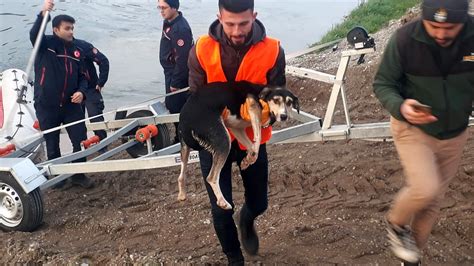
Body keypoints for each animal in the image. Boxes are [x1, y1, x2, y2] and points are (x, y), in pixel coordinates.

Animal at [176, 81, 298, 210]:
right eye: (276, 100)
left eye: (289, 102)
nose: (284, 116)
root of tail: (185, 120)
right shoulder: (253, 106)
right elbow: (258, 137)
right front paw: (250, 157)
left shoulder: (237, 128)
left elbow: (252, 148)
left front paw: (247, 160)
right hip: (224, 141)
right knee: (211, 178)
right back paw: (223, 202)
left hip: (185, 148)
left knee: (181, 175)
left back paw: (182, 195)